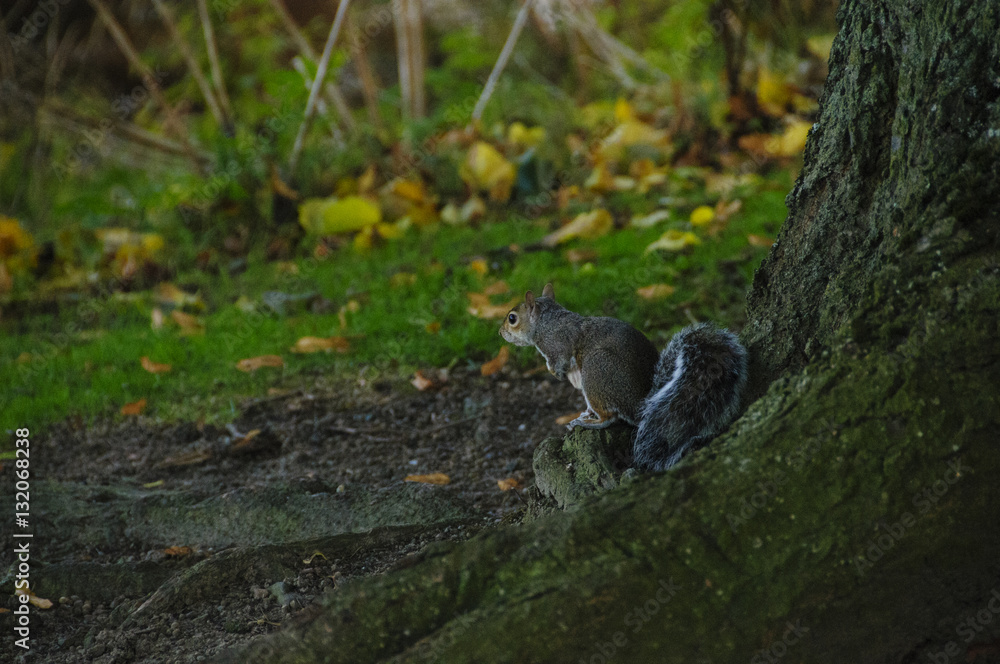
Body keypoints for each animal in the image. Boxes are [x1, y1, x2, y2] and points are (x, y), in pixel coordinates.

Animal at [500, 283, 748, 472]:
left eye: (512, 318)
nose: (501, 332)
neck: (546, 321)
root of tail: (641, 405)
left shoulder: (557, 345)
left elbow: (559, 362)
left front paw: (555, 372)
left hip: (596, 371)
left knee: (609, 417)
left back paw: (589, 422)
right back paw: (587, 414)